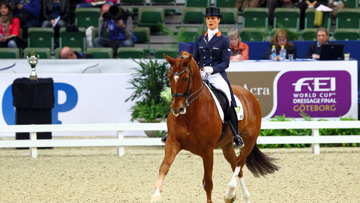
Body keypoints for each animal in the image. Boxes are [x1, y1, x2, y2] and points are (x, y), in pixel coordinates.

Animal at [149, 51, 278, 202]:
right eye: (169, 77)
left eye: (186, 78)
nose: (177, 109)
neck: (190, 114)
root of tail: (249, 95)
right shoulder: (172, 142)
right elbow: (164, 167)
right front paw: (156, 195)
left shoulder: (207, 150)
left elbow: (208, 183)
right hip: (227, 145)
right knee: (237, 165)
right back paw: (243, 196)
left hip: (249, 141)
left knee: (240, 162)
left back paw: (229, 193)